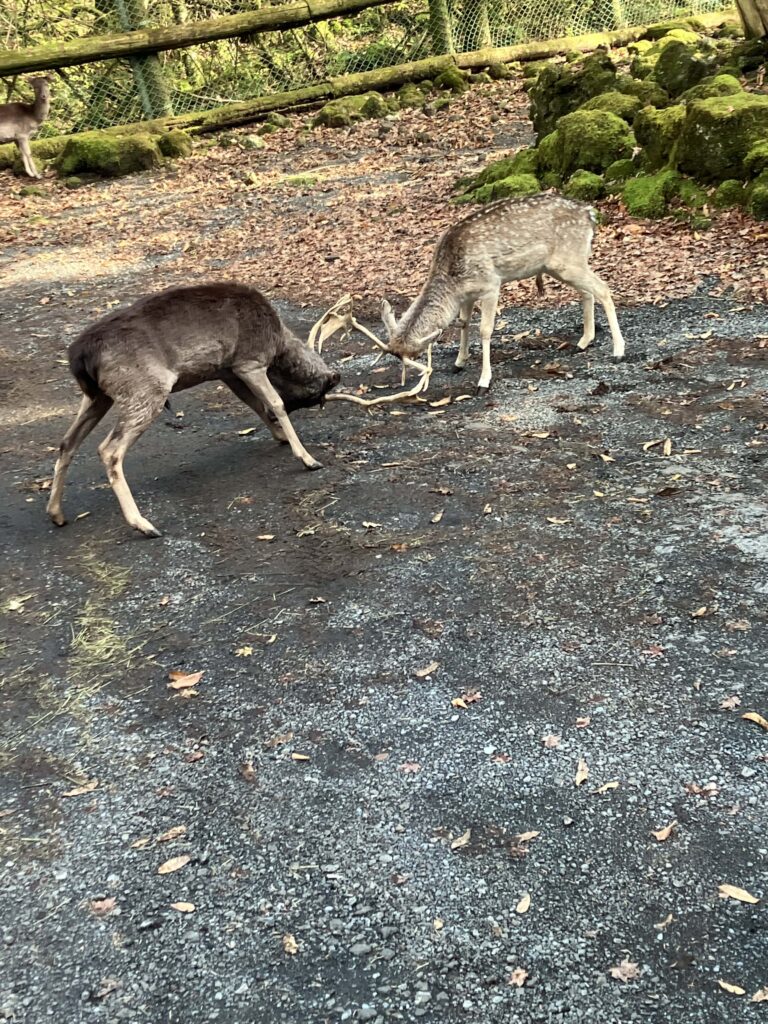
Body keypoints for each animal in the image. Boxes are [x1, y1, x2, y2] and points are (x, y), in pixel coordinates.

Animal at [45, 280, 339, 536]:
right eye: (317, 394)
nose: (334, 377)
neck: (277, 345)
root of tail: (79, 358)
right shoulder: (249, 361)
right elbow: (274, 403)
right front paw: (307, 458)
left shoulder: (227, 371)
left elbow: (255, 403)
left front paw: (280, 436)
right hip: (144, 389)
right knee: (109, 449)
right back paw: (143, 524)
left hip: (97, 396)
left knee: (67, 441)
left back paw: (56, 513)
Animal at [376, 193, 626, 393]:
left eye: (413, 355)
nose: (406, 375)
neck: (452, 282)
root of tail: (589, 214)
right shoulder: (467, 295)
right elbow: (464, 324)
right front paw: (459, 362)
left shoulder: (490, 285)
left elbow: (485, 330)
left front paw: (484, 381)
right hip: (561, 265)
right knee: (587, 292)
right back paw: (583, 341)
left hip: (567, 260)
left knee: (603, 288)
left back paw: (618, 350)